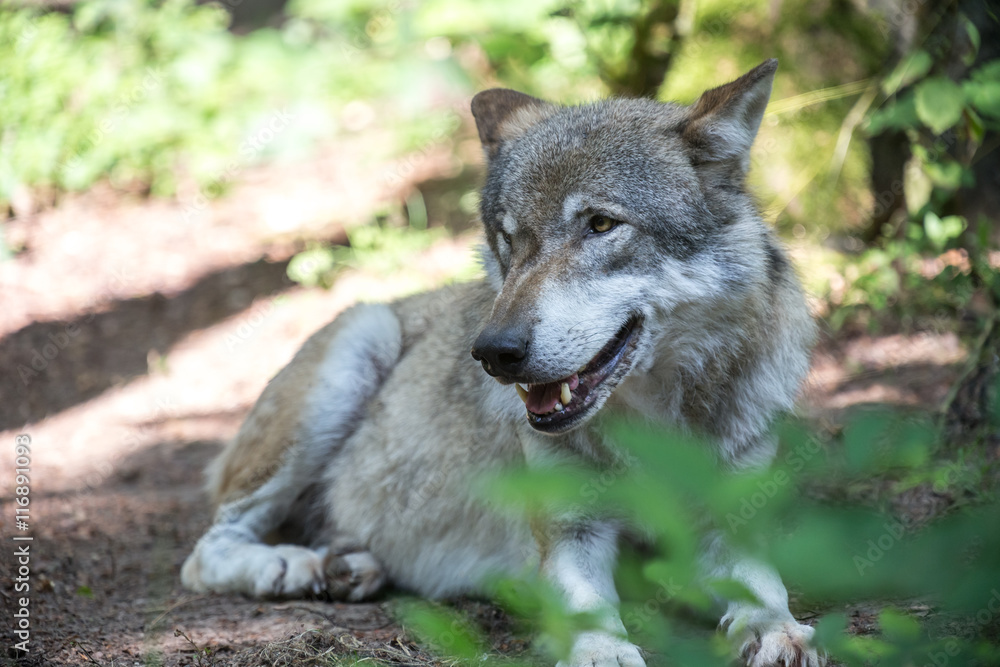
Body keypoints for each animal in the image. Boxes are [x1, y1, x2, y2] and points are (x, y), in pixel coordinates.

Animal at [181, 59, 821, 667]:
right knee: (204, 554)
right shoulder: (568, 537)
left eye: (601, 225)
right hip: (354, 352)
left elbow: (765, 586)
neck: (653, 431)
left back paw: (349, 565)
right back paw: (293, 566)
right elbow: (591, 617)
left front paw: (780, 632)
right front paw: (602, 654)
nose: (493, 352)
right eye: (509, 239)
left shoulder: (728, 527)